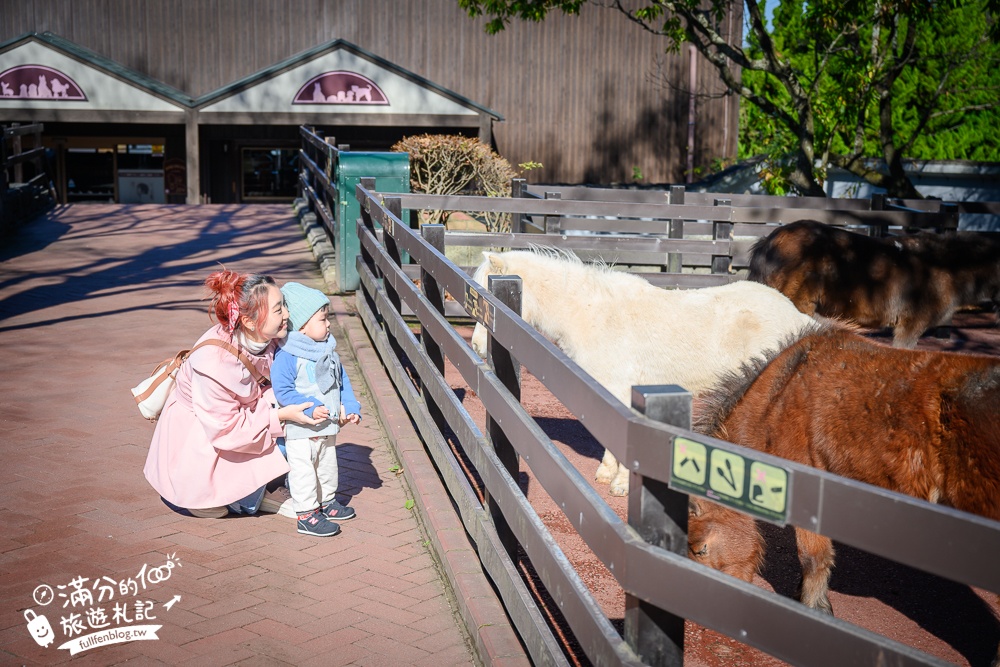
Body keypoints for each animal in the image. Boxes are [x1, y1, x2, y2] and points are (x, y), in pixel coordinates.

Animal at [468, 249, 812, 496]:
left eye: (489, 296)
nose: (476, 346)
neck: (592, 314)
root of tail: (797, 317)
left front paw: (621, 484)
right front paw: (606, 473)